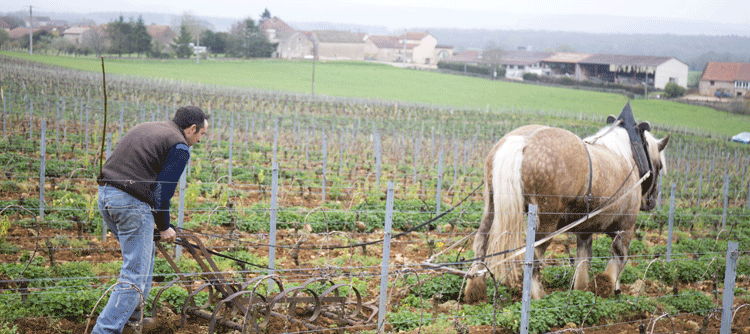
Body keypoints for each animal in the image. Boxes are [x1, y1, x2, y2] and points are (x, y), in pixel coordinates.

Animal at [468, 104, 672, 302]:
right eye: (659, 166)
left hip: (491, 206)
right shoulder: (626, 226)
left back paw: (475, 289)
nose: (651, 202)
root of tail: (522, 140)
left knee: (481, 242)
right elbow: (619, 255)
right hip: (547, 220)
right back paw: (537, 295)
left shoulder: (585, 229)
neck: (627, 156)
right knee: (534, 255)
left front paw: (581, 288)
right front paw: (609, 284)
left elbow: (584, 258)